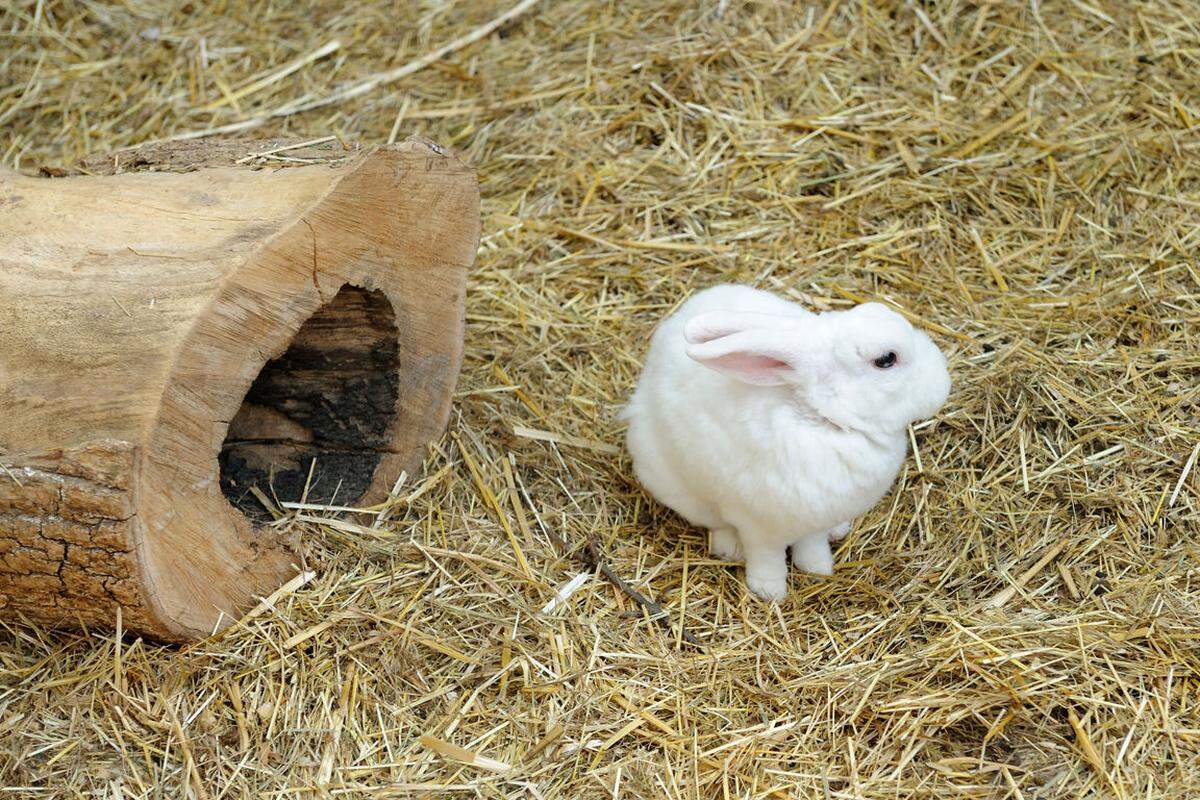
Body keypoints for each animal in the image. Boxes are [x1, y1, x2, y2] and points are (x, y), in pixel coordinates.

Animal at [624, 286, 950, 599]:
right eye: (886, 360)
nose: (944, 379)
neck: (822, 418)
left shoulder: (814, 523)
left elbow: (812, 545)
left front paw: (818, 569)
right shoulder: (758, 527)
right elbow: (766, 557)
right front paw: (769, 591)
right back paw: (729, 547)